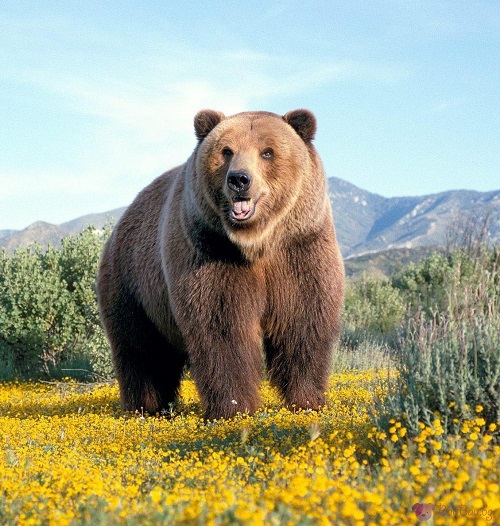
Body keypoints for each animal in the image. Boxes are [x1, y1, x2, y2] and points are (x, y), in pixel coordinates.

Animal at [99, 108, 346, 420]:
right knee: (141, 349)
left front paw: (307, 400)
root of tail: (121, 222)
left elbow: (303, 321)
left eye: (267, 152)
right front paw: (233, 407)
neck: (256, 243)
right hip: (133, 284)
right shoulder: (211, 251)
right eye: (226, 151)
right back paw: (145, 407)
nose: (239, 179)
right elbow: (222, 327)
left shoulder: (300, 249)